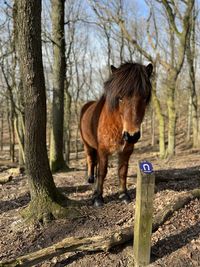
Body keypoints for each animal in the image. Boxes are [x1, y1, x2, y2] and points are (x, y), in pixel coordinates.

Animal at [79, 62, 153, 207]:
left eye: (145, 97)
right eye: (120, 98)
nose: (131, 135)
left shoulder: (126, 151)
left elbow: (122, 171)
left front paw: (123, 194)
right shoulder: (102, 150)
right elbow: (102, 172)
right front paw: (98, 197)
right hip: (87, 144)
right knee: (90, 158)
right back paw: (90, 178)